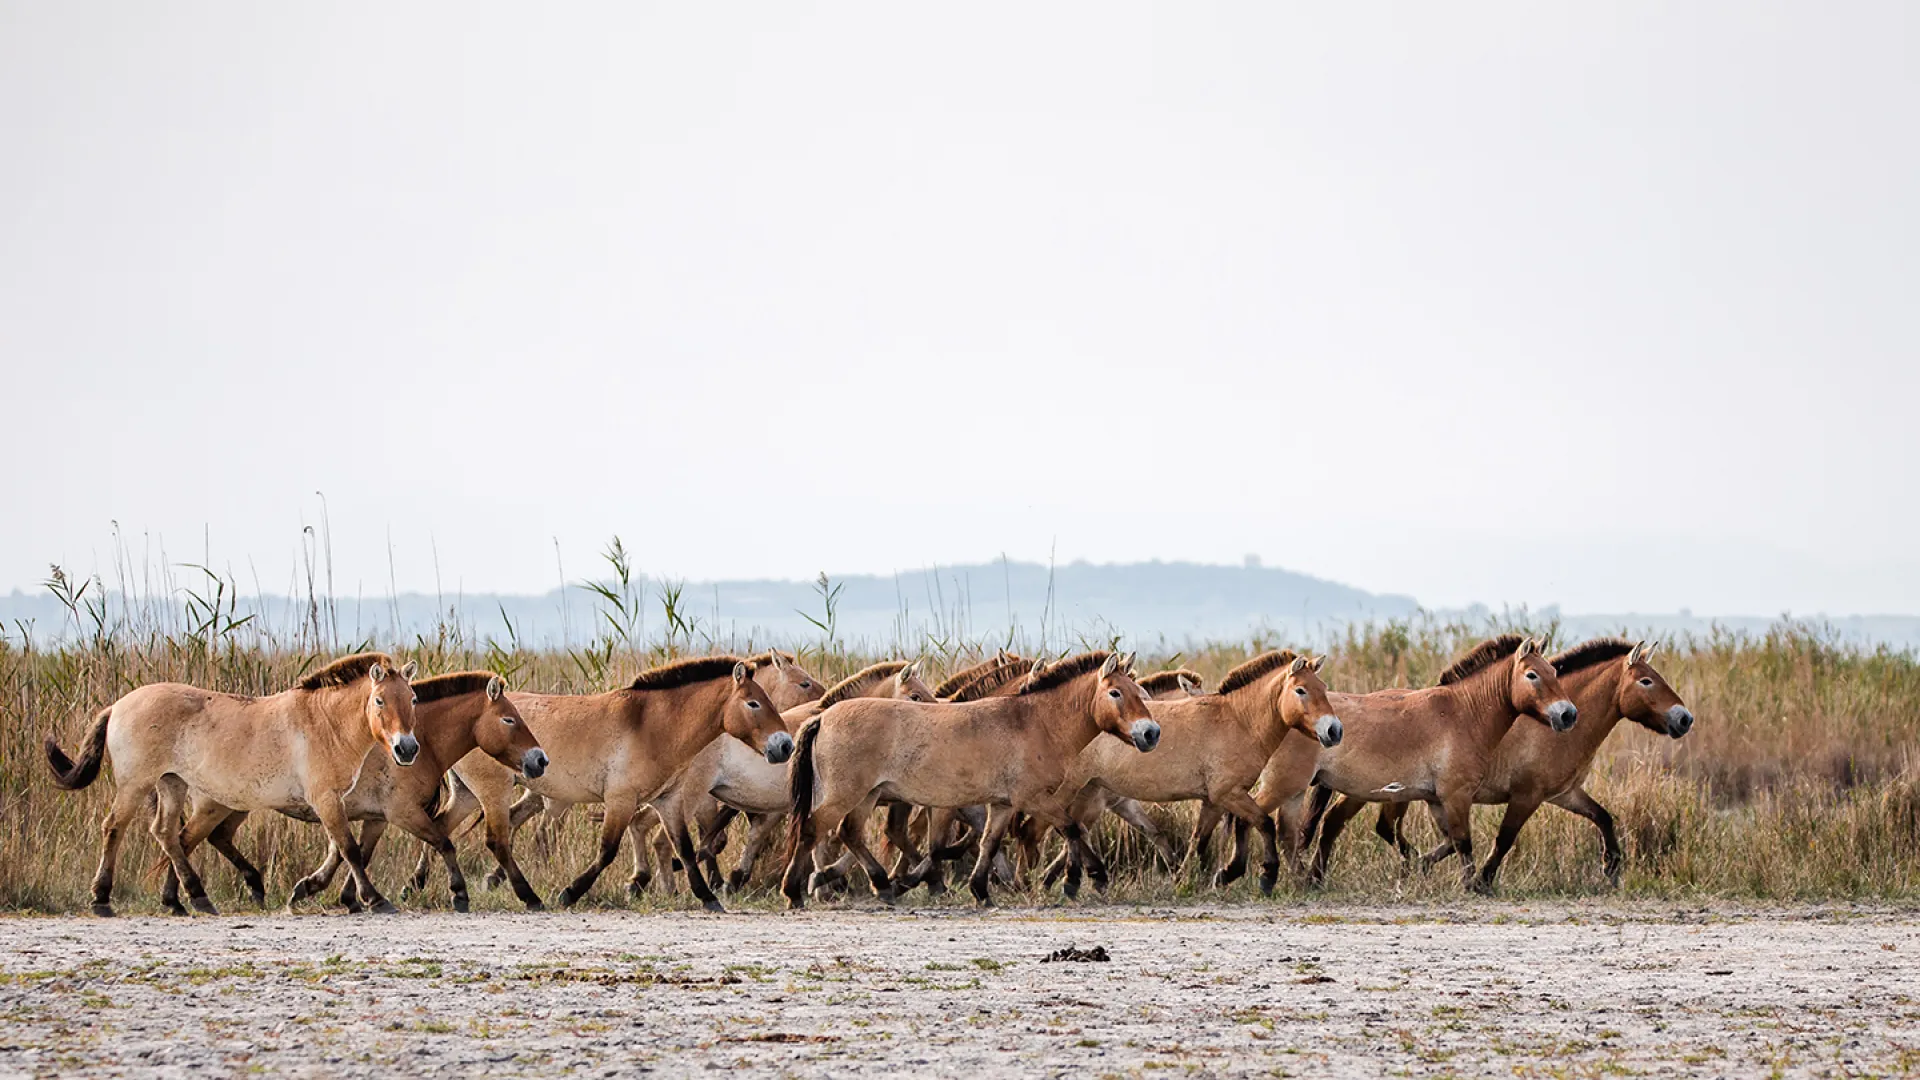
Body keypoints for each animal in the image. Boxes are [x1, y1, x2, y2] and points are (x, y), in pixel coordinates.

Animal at [44, 653, 420, 916]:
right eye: (380, 701)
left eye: (412, 699)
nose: (407, 748)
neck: (324, 722)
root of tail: (118, 705)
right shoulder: (325, 799)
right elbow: (350, 850)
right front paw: (375, 899)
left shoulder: (333, 802)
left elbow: (340, 849)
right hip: (135, 784)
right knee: (114, 828)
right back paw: (102, 899)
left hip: (172, 784)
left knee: (167, 834)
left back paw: (192, 899)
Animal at [782, 651, 1159, 907]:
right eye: (1115, 693)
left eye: (1139, 692)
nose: (1151, 733)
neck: (1034, 722)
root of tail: (822, 718)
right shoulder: (1033, 799)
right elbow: (1071, 829)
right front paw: (1077, 880)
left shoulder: (1002, 804)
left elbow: (989, 843)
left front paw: (980, 891)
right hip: (845, 795)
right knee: (813, 830)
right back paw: (795, 892)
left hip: (868, 795)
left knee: (851, 833)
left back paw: (881, 885)